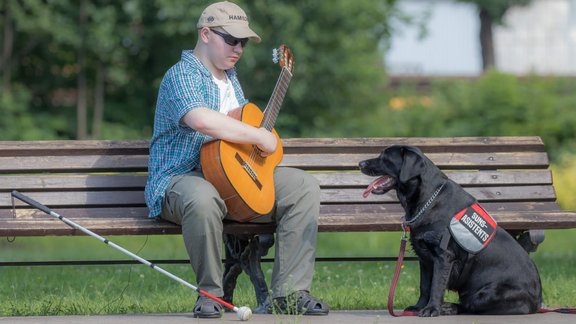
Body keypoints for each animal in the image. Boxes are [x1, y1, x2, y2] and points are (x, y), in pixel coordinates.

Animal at [358, 146, 544, 316]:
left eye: (385, 157)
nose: (360, 163)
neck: (428, 200)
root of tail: (538, 303)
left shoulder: (443, 256)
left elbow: (436, 286)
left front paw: (431, 309)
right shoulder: (424, 258)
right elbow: (424, 286)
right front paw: (419, 307)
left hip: (486, 293)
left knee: (471, 307)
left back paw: (449, 308)